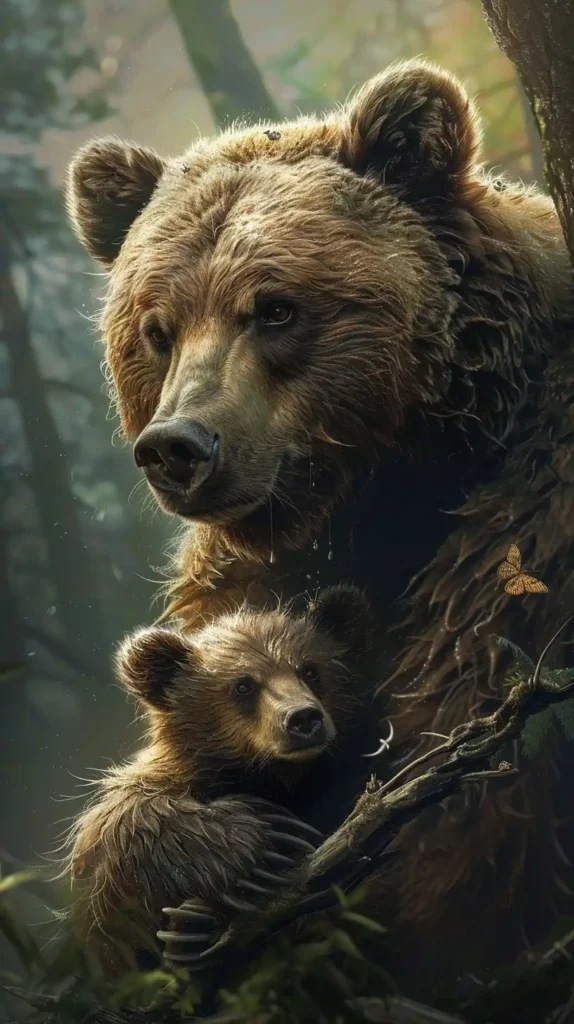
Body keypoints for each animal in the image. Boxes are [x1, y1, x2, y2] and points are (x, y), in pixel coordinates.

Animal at [65, 585, 380, 973]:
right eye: (243, 685)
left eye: (310, 670)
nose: (303, 719)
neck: (263, 775)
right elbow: (121, 824)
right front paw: (264, 843)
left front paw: (197, 925)